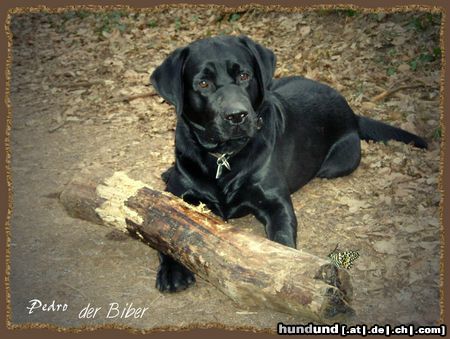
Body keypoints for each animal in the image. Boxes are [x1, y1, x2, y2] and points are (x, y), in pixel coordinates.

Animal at [149, 35, 428, 294]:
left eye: (244, 75)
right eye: (203, 83)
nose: (238, 115)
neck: (224, 156)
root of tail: (351, 111)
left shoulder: (275, 202)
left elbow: (281, 239)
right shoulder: (175, 195)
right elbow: (165, 227)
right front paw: (173, 272)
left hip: (339, 162)